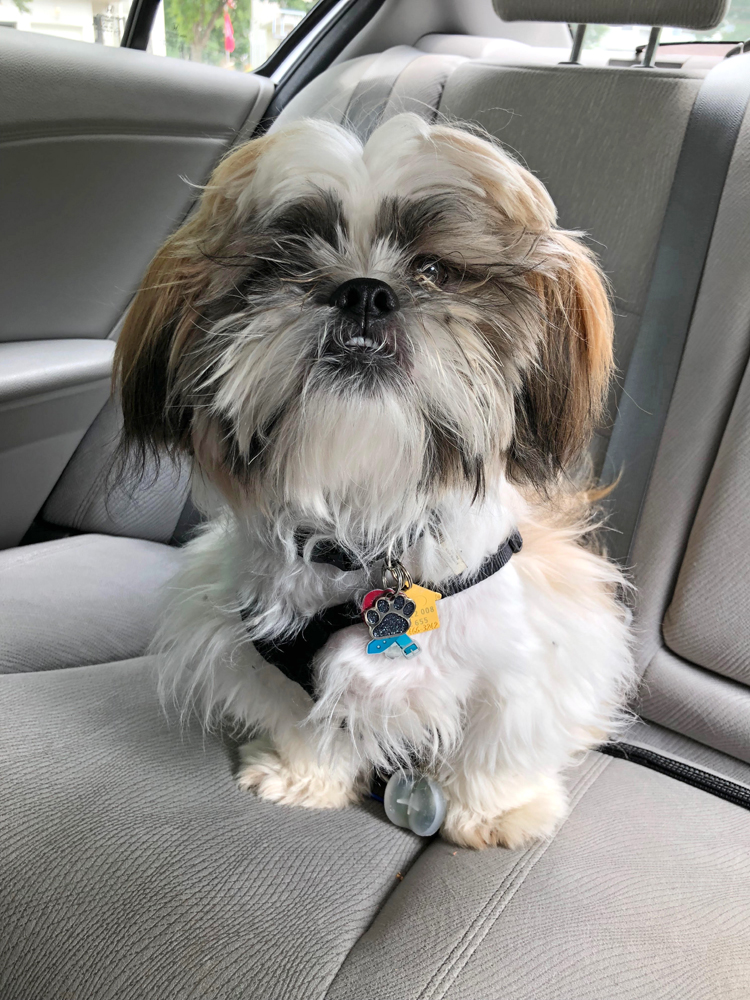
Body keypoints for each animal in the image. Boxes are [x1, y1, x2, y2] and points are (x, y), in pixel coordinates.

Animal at [116, 117, 636, 852]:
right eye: (285, 265)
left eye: (434, 270)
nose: (364, 290)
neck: (369, 528)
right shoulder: (264, 655)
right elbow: (304, 716)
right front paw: (304, 775)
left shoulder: (536, 649)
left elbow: (498, 737)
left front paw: (495, 810)